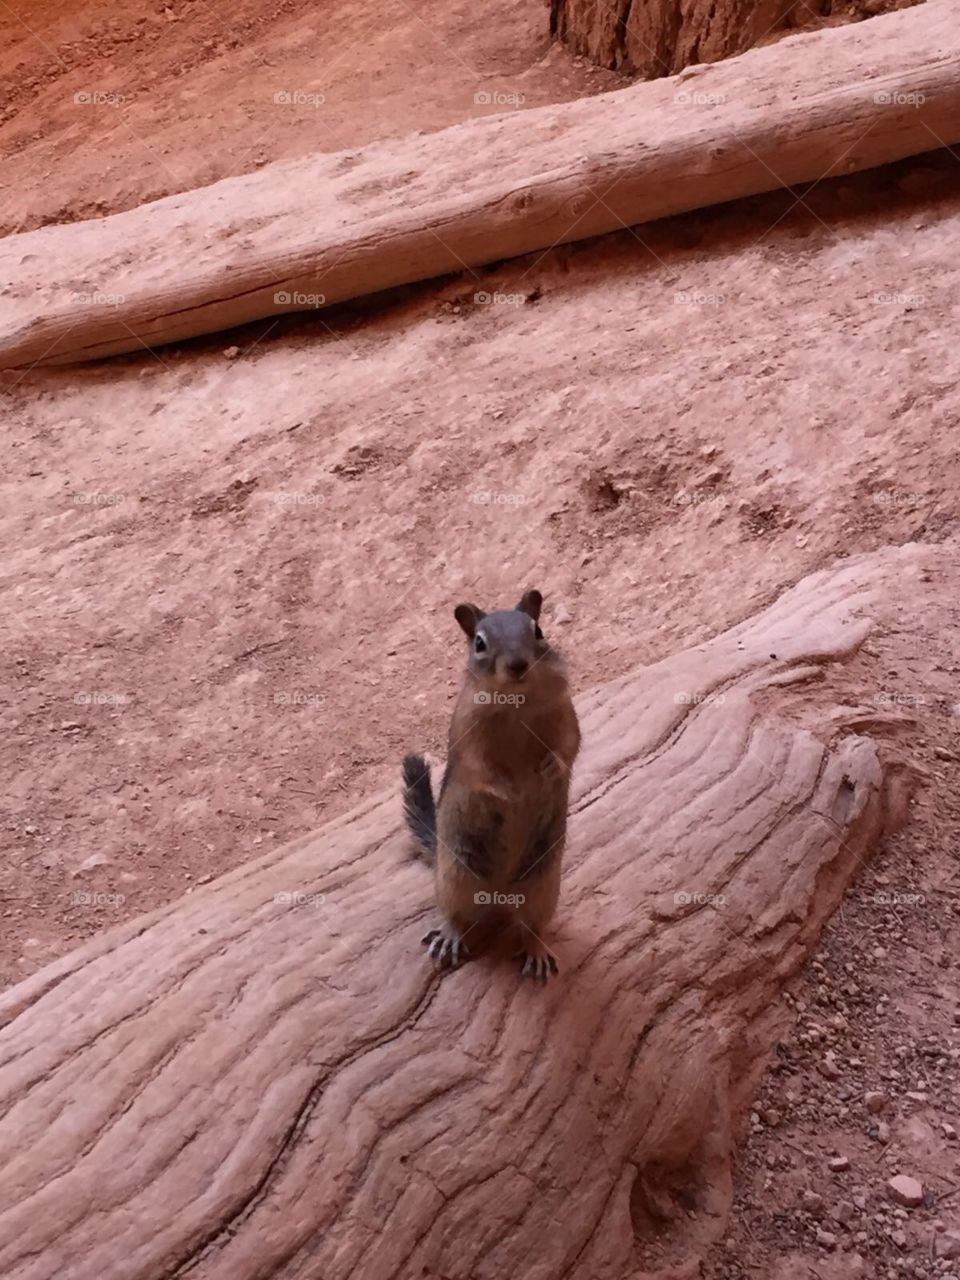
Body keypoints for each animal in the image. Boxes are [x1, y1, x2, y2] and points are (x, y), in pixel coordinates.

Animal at [401, 588, 583, 977]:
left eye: (538, 630)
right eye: (480, 643)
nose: (517, 664)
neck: (516, 701)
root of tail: (500, 898)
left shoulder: (565, 712)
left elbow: (568, 745)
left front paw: (550, 770)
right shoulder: (467, 732)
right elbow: (479, 769)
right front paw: (508, 792)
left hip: (543, 888)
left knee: (531, 926)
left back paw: (536, 950)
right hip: (455, 878)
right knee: (455, 915)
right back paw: (450, 936)